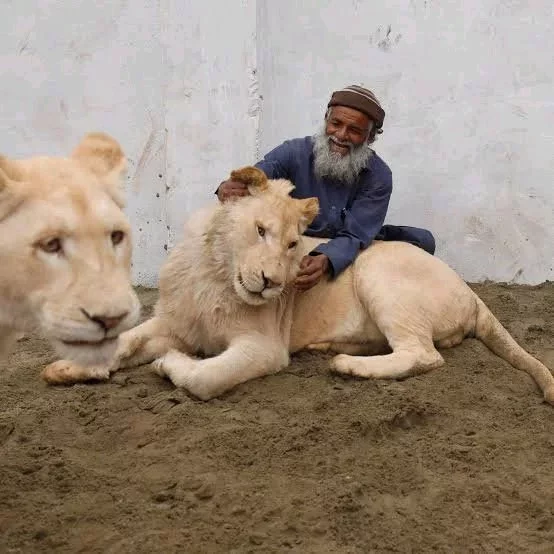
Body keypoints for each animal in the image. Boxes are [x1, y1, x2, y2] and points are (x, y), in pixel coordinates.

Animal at [42, 166, 552, 404]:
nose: (270, 282)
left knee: (424, 355)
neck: (216, 274)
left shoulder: (264, 347)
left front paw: (170, 365)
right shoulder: (175, 321)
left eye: (292, 244)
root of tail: (472, 292)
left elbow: (206, 377)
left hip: (379, 274)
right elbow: (126, 342)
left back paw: (348, 366)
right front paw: (68, 369)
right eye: (260, 230)